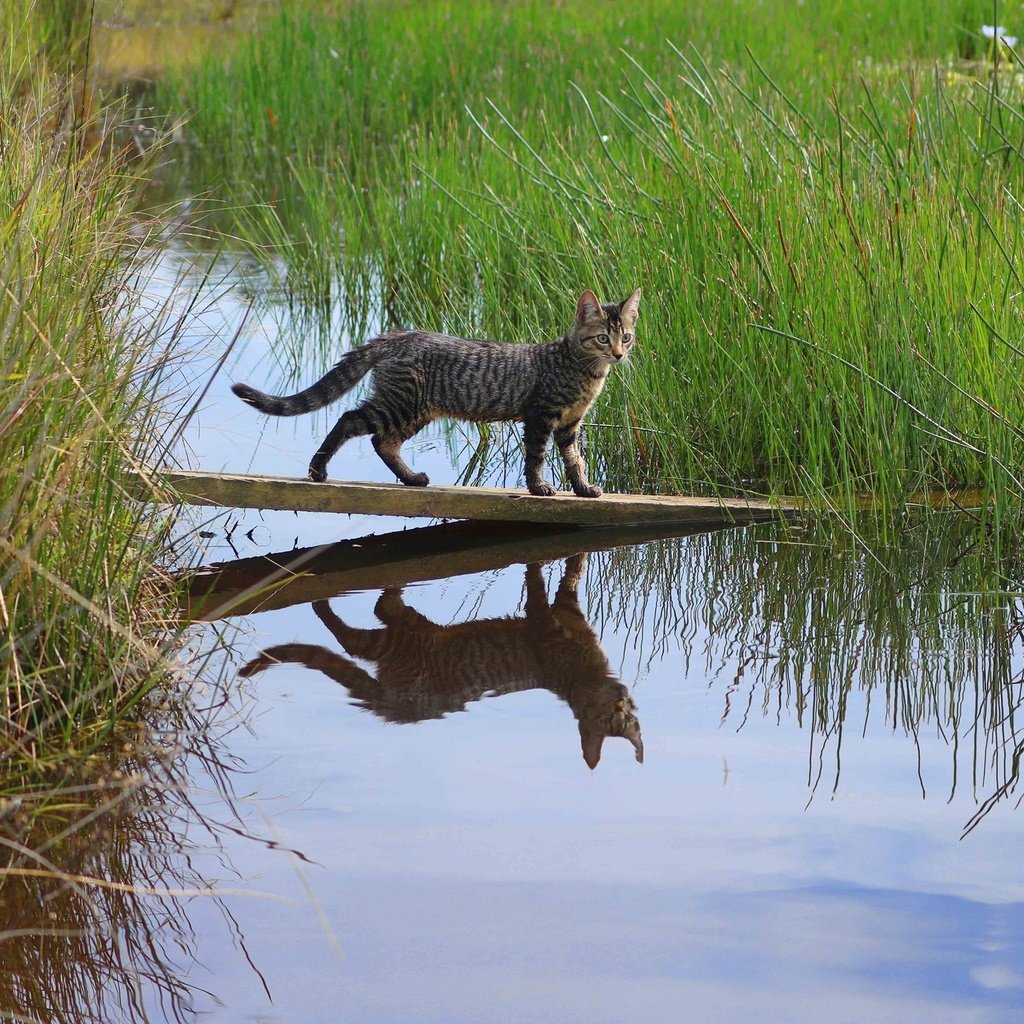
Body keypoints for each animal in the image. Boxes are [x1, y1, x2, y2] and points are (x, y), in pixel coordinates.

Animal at [232, 288, 638, 495]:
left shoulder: (570, 424)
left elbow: (575, 459)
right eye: (603, 338)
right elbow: (536, 457)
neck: (586, 372)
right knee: (351, 420)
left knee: (382, 441)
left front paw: (583, 488)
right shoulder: (540, 416)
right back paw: (319, 469)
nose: (619, 354)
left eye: (627, 337)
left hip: (416, 410)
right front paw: (539, 488)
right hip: (402, 403)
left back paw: (411, 478)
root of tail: (397, 335)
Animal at [238, 561, 638, 770]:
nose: (622, 703)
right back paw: (328, 601)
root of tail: (397, 707)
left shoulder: (569, 608)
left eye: (627, 719)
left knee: (366, 627)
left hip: (398, 639)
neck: (585, 675)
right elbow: (541, 581)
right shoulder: (545, 621)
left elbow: (573, 571)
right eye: (606, 718)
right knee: (361, 626)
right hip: (406, 638)